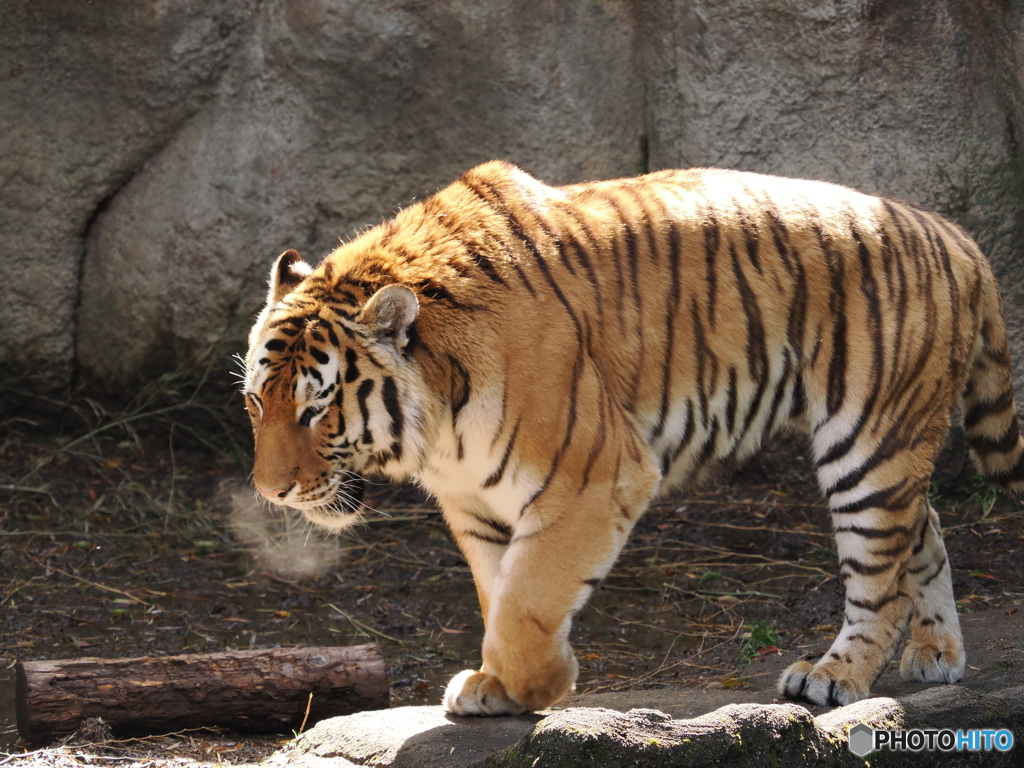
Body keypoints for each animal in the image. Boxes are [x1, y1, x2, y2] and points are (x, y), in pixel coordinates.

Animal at [243, 160, 1024, 716]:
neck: (439, 427)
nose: (270, 491)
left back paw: (835, 676)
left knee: (880, 573)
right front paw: (497, 683)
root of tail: (955, 234)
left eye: (316, 409)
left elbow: (529, 597)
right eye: (255, 403)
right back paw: (937, 653)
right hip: (890, 442)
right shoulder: (472, 502)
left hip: (867, 442)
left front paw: (537, 685)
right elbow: (498, 590)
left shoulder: (593, 473)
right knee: (925, 532)